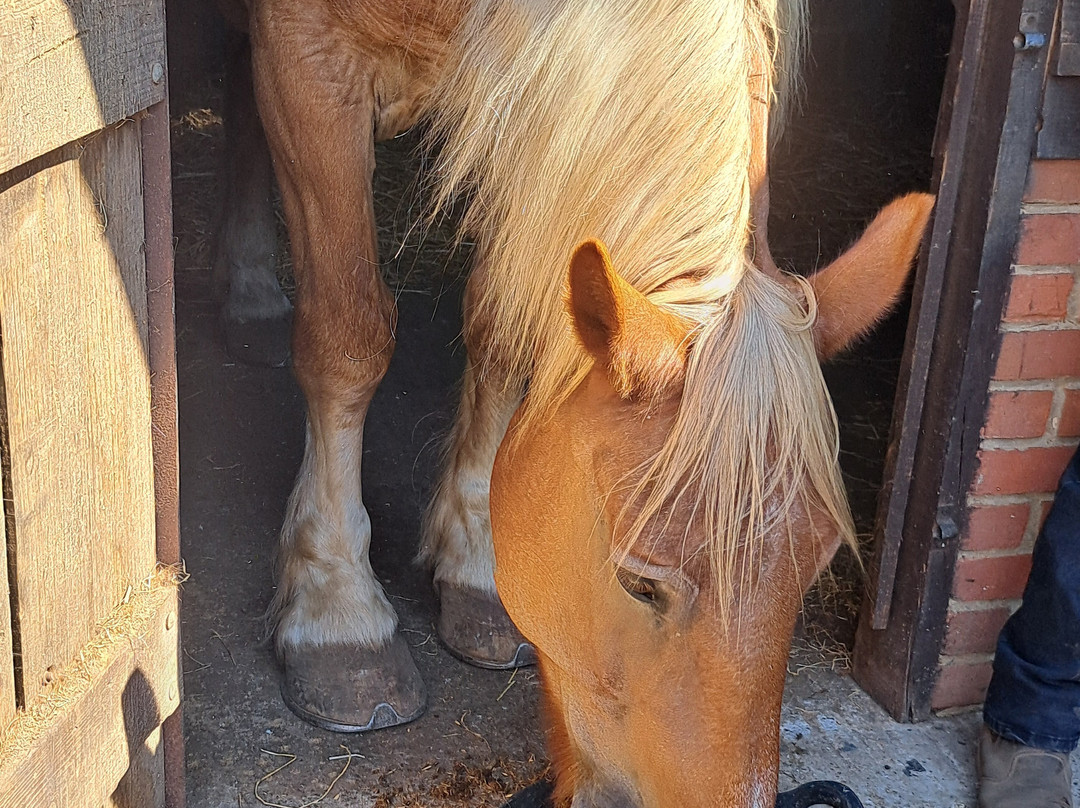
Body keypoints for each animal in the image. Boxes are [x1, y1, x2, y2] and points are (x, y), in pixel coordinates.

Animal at [212, 0, 934, 804]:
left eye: (818, 567)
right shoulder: (311, 59)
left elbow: (503, 328)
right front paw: (338, 611)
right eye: (639, 583)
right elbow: (348, 338)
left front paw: (476, 566)